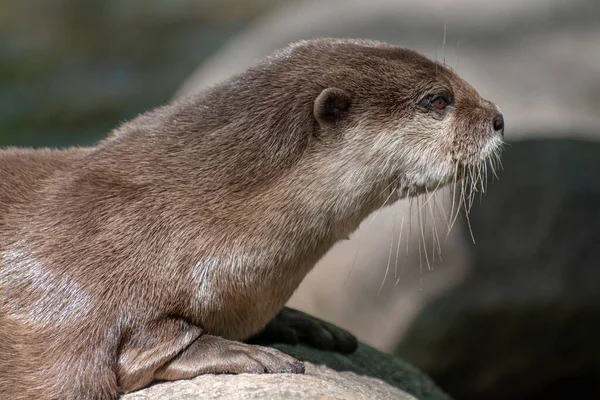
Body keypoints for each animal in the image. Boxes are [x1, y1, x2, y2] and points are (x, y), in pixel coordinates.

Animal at [1, 38, 502, 400]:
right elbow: (135, 347)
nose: (497, 118)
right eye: (437, 100)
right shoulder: (88, 289)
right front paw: (248, 352)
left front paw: (305, 324)